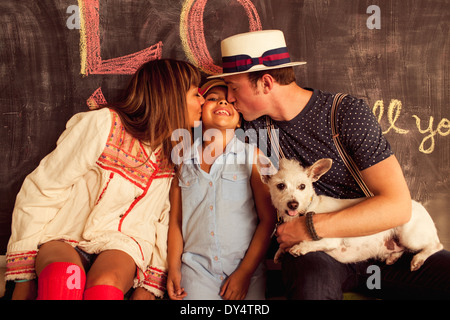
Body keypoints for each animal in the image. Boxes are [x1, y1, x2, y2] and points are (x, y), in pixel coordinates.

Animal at [256, 156, 442, 272]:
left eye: (302, 186)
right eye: (280, 186)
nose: (293, 203)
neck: (306, 211)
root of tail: (421, 207)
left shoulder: (330, 239)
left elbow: (309, 243)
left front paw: (299, 248)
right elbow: (282, 247)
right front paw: (280, 252)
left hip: (410, 237)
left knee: (436, 245)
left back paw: (418, 259)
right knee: (402, 248)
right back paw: (393, 258)